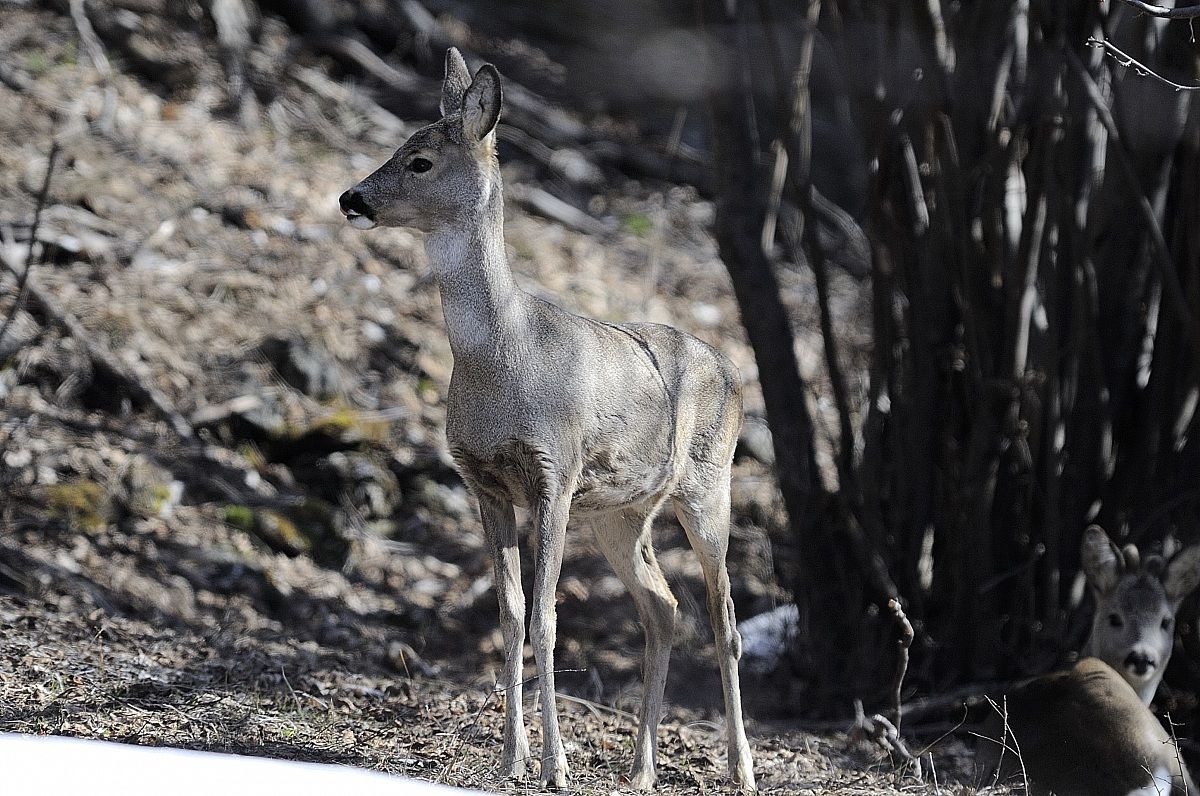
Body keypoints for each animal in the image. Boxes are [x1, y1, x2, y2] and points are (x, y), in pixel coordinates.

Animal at [338, 48, 755, 791]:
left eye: (419, 160)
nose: (352, 198)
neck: (502, 355)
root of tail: (732, 371)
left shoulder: (553, 475)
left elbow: (547, 619)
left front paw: (555, 766)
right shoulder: (484, 481)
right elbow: (509, 617)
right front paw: (511, 758)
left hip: (709, 488)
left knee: (725, 618)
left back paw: (740, 768)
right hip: (621, 512)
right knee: (664, 608)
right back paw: (640, 769)